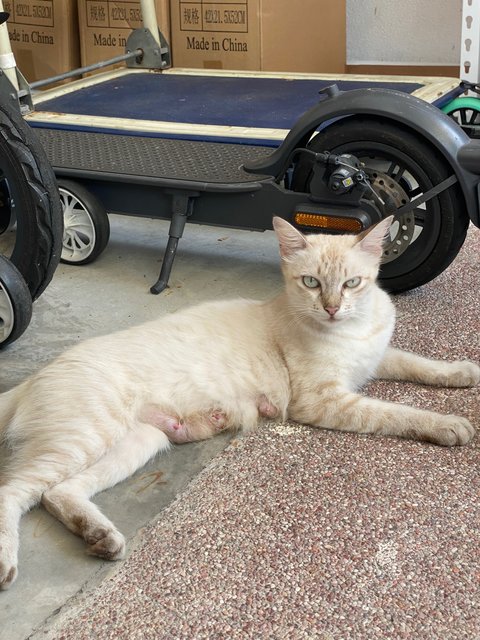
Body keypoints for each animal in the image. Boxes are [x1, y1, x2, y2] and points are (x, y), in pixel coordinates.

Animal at [0, 216, 480, 592]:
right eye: (311, 282)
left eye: (352, 283)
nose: (331, 308)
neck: (353, 330)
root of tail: (36, 376)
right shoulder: (324, 400)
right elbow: (397, 413)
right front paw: (449, 424)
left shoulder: (377, 360)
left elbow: (421, 364)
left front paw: (464, 373)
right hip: (85, 438)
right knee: (17, 489)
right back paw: (11, 560)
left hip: (139, 443)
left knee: (58, 493)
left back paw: (100, 536)